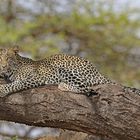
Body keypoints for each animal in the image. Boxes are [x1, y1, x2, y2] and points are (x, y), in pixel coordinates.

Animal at [0, 46, 139, 97]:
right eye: (0, 58)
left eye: (8, 58)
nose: (3, 66)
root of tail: (97, 72)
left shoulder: (34, 78)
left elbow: (17, 84)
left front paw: (2, 90)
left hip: (63, 70)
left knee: (87, 89)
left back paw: (63, 85)